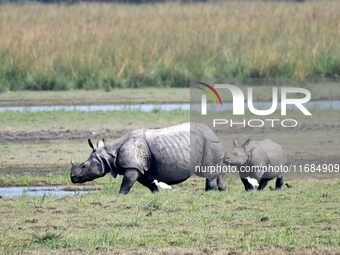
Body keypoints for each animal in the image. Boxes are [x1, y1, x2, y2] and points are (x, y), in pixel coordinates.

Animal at [70, 123, 227, 193]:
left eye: (84, 166)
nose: (72, 178)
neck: (108, 154)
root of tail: (214, 133)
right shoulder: (140, 168)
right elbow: (149, 184)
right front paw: (156, 193)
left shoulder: (132, 167)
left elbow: (126, 185)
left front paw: (121, 195)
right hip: (209, 142)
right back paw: (221, 189)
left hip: (209, 142)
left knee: (207, 169)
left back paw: (209, 191)